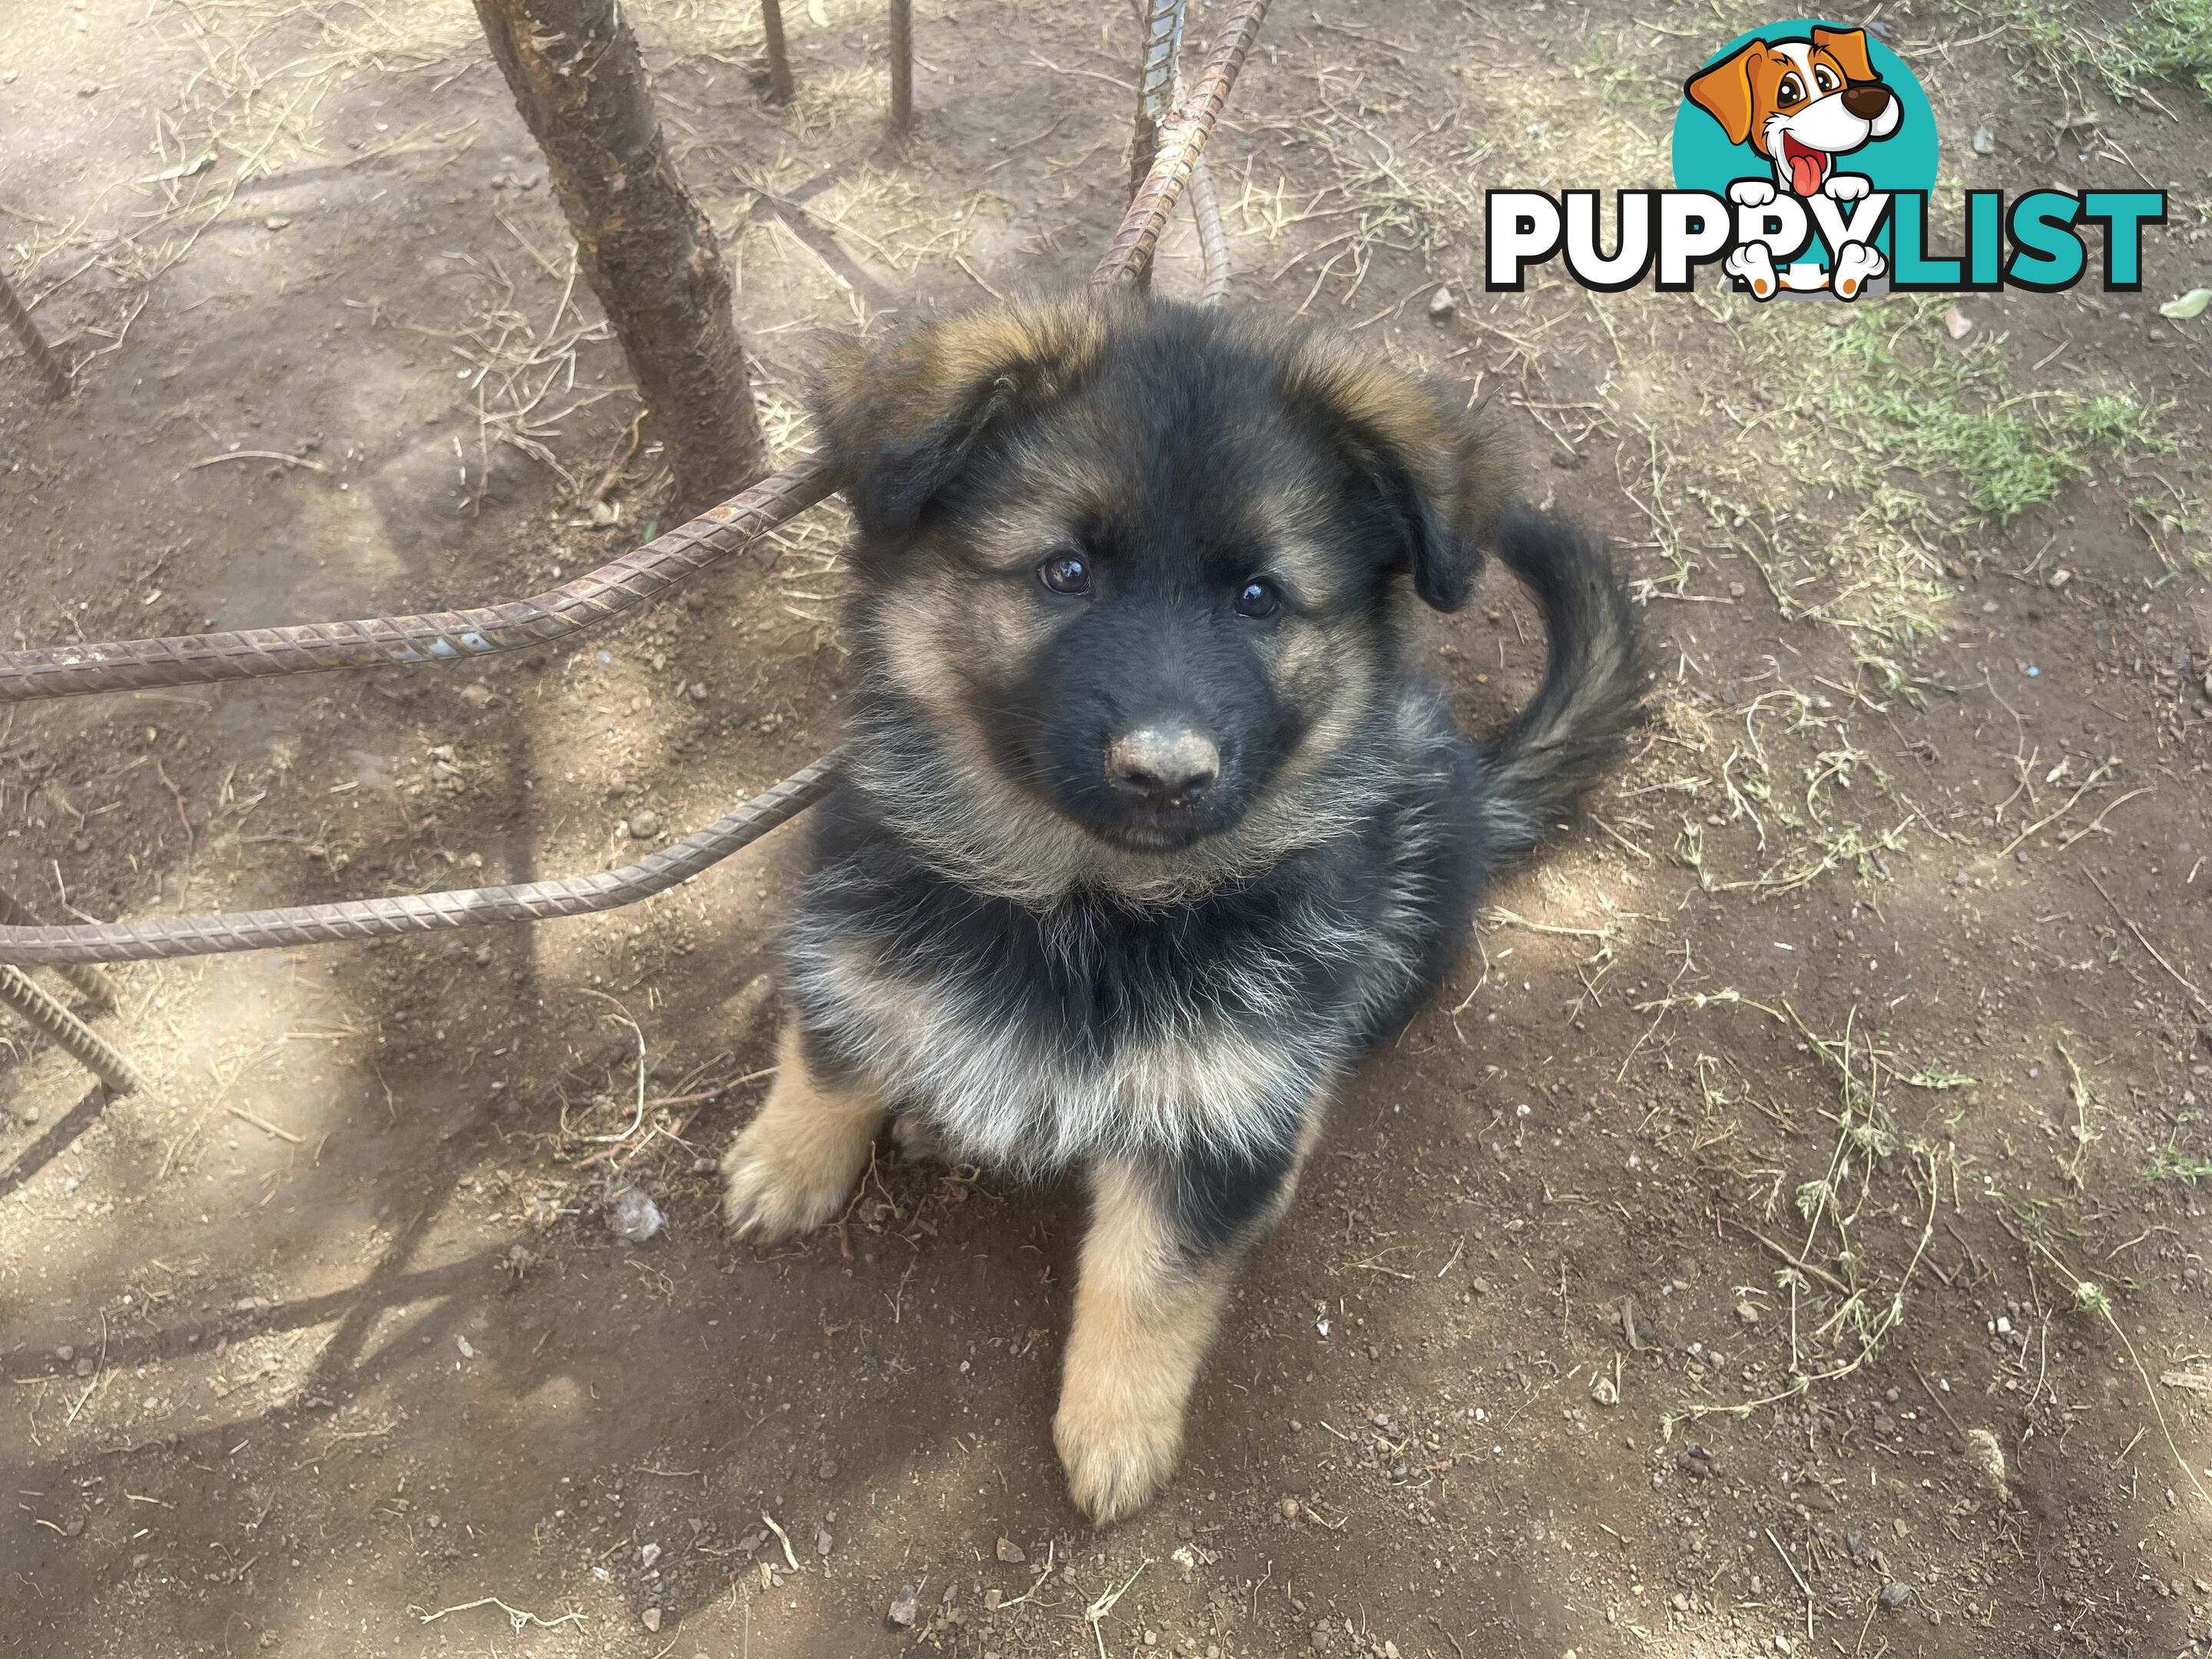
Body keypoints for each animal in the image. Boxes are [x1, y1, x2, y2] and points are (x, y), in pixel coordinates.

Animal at [725, 292, 1645, 1530]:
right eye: (1065, 571)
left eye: (1259, 598)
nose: (1166, 772)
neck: (1087, 906)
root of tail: (1475, 787)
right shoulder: (858, 933)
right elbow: (831, 1051)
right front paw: (787, 1162)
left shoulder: (1216, 1101)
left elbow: (1151, 1278)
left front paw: (1115, 1431)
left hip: (1394, 924)